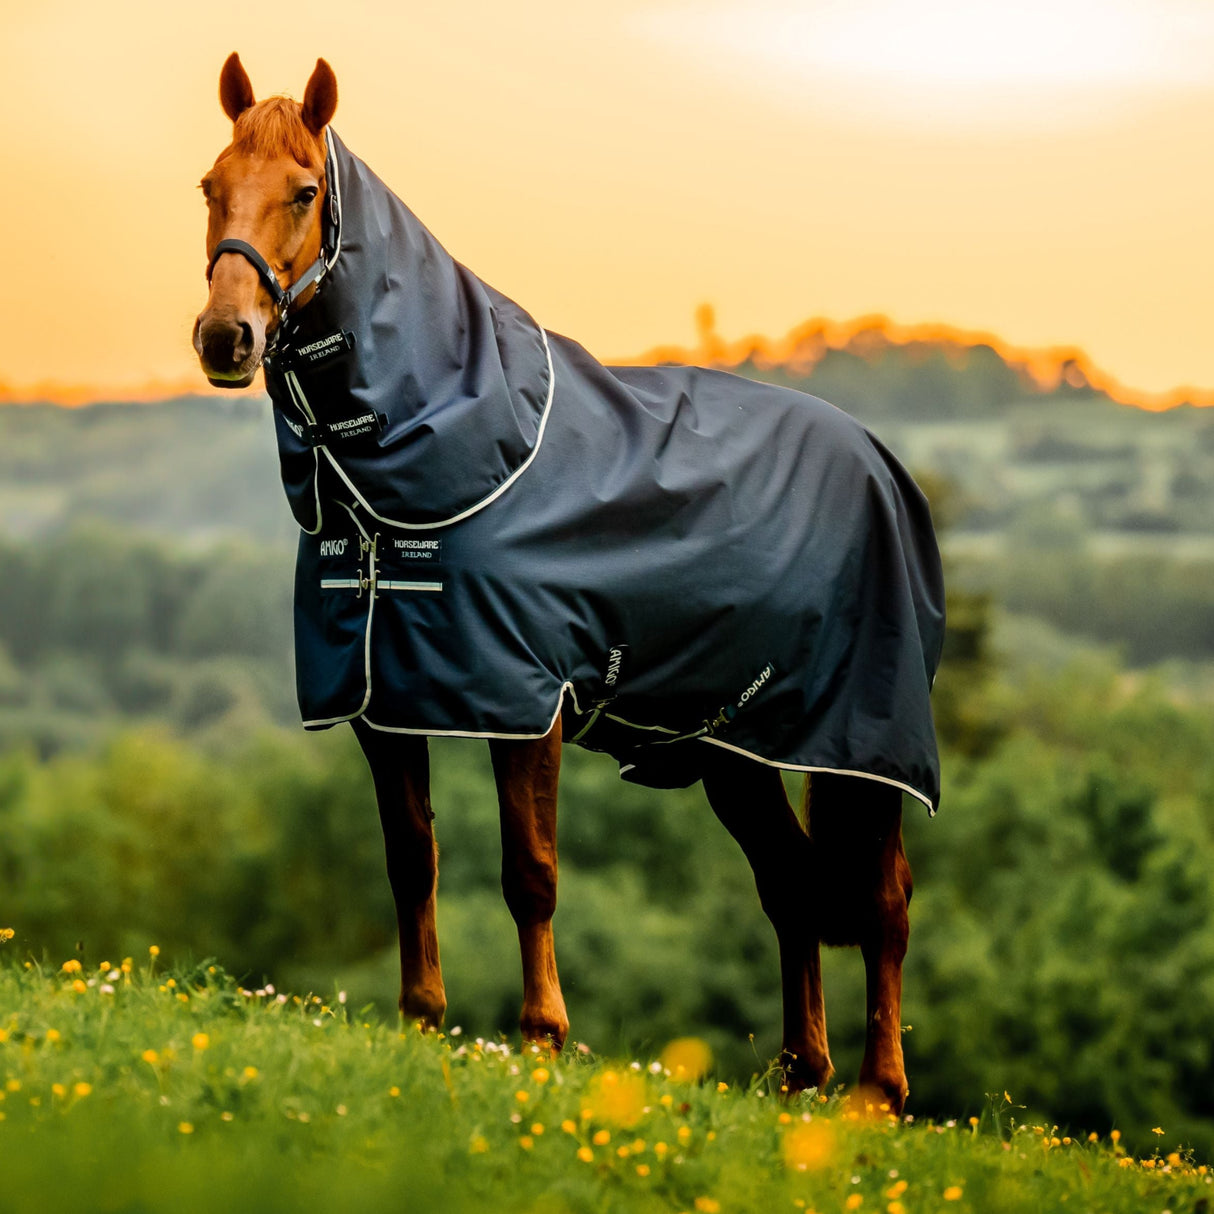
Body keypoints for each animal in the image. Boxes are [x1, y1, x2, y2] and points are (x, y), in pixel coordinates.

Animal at [193, 53, 945, 1113]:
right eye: (209, 188)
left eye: (304, 192)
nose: (226, 338)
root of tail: (880, 462)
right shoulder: (382, 702)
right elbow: (411, 859)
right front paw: (420, 1020)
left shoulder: (524, 700)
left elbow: (531, 871)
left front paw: (543, 1036)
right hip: (737, 748)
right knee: (792, 883)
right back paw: (801, 1074)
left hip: (864, 743)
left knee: (883, 898)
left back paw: (878, 1091)